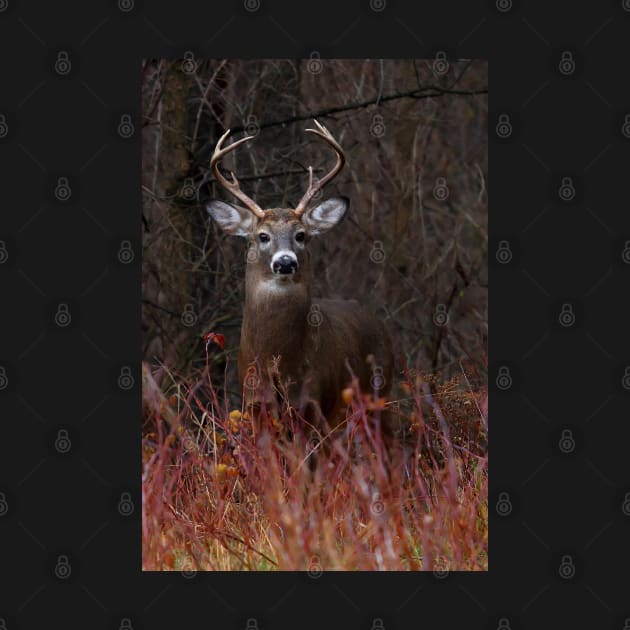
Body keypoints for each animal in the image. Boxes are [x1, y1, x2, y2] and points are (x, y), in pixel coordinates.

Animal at [207, 121, 396, 436]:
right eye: (262, 236)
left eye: (301, 235)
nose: (285, 262)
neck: (277, 359)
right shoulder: (254, 403)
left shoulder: (313, 403)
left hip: (378, 395)